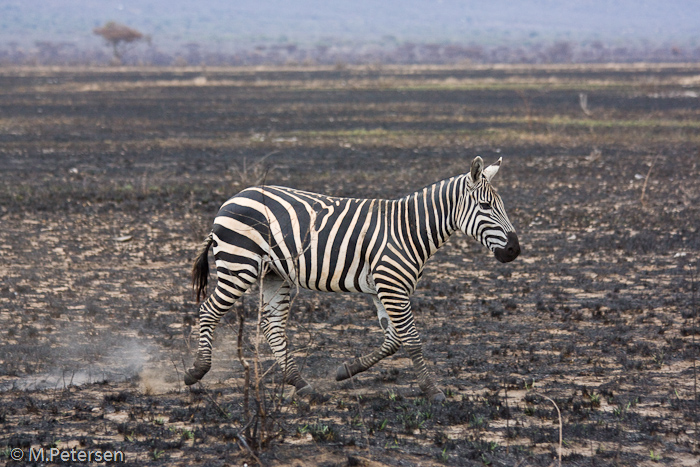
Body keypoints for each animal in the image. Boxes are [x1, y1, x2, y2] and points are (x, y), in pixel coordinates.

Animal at [186, 156, 520, 402]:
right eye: (486, 206)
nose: (514, 250)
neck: (409, 230)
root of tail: (233, 198)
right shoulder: (392, 287)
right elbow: (412, 339)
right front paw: (432, 390)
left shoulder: (385, 289)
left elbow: (393, 340)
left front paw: (346, 370)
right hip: (239, 266)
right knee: (209, 310)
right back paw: (197, 370)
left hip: (273, 274)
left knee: (273, 327)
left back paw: (301, 383)